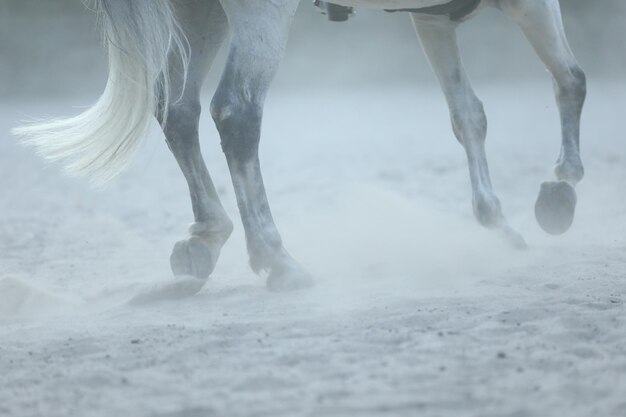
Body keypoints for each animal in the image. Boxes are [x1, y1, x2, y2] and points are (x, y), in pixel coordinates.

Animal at [11, 0, 584, 290]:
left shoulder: (431, 16)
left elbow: (469, 115)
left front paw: (497, 221)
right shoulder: (529, 1)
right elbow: (570, 79)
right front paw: (561, 190)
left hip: (199, 14)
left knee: (178, 112)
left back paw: (206, 238)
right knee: (236, 114)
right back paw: (277, 257)